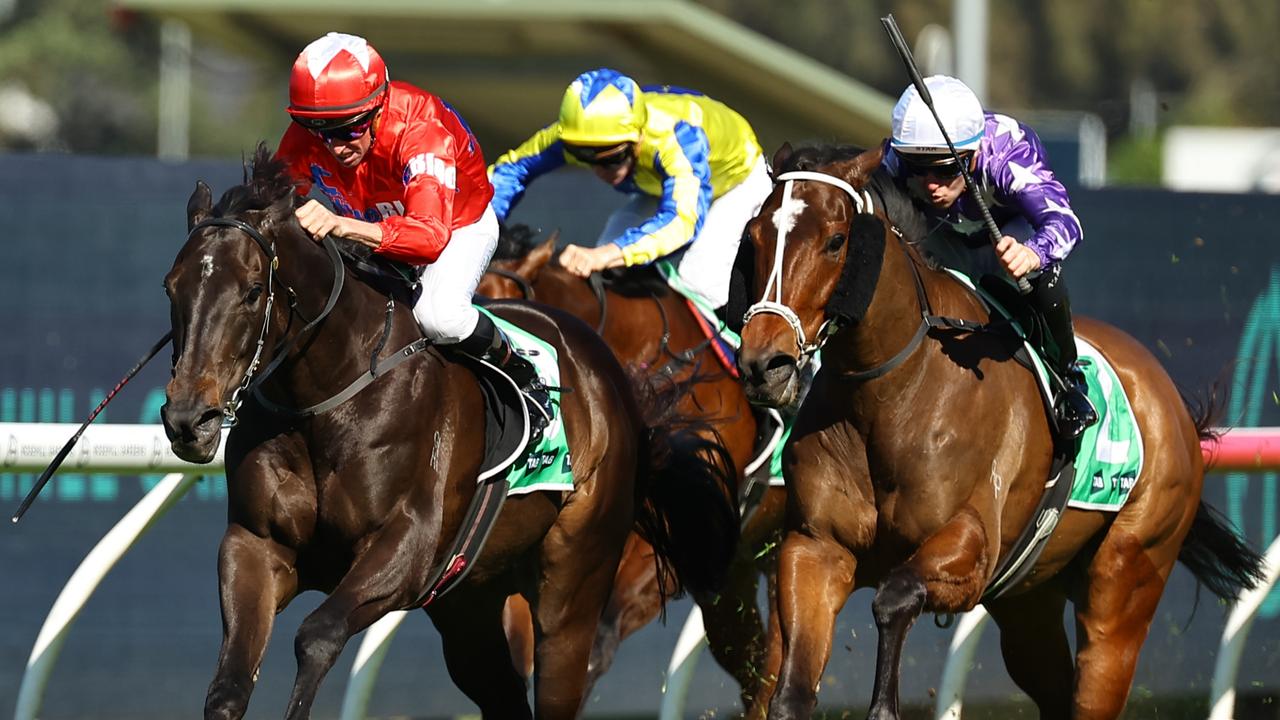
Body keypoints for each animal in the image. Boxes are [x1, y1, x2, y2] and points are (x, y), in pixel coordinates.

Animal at [161, 146, 742, 717]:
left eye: (251, 291)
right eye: (172, 287)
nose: (189, 419)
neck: (324, 399)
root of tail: (614, 379)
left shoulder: (408, 548)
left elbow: (317, 635)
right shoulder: (255, 546)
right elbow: (228, 686)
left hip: (573, 592)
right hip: (469, 602)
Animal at [737, 140, 1264, 717]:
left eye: (835, 242)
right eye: (753, 237)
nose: (764, 365)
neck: (890, 392)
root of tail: (1172, 405)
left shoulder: (970, 546)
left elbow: (894, 597)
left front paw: (884, 703)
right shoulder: (816, 547)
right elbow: (790, 693)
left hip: (1128, 577)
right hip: (1029, 603)